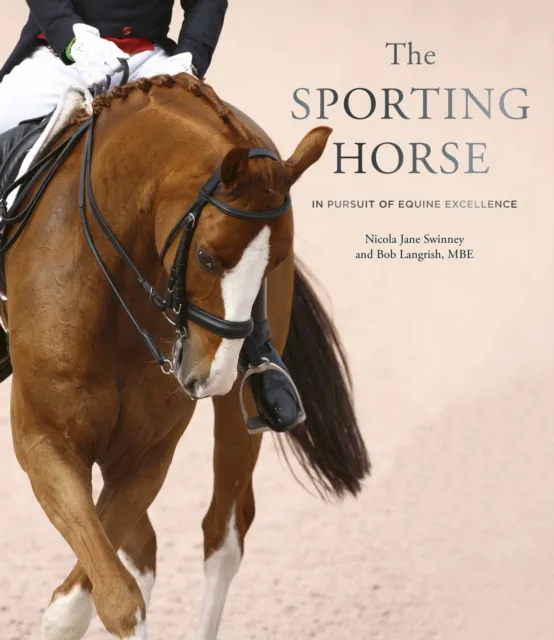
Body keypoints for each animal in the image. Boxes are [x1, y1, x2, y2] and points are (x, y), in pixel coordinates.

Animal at [2, 73, 370, 639]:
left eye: (274, 263)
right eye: (206, 257)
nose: (212, 377)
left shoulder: (146, 454)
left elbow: (92, 598)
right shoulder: (45, 441)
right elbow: (107, 594)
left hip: (241, 414)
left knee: (223, 536)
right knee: (147, 549)